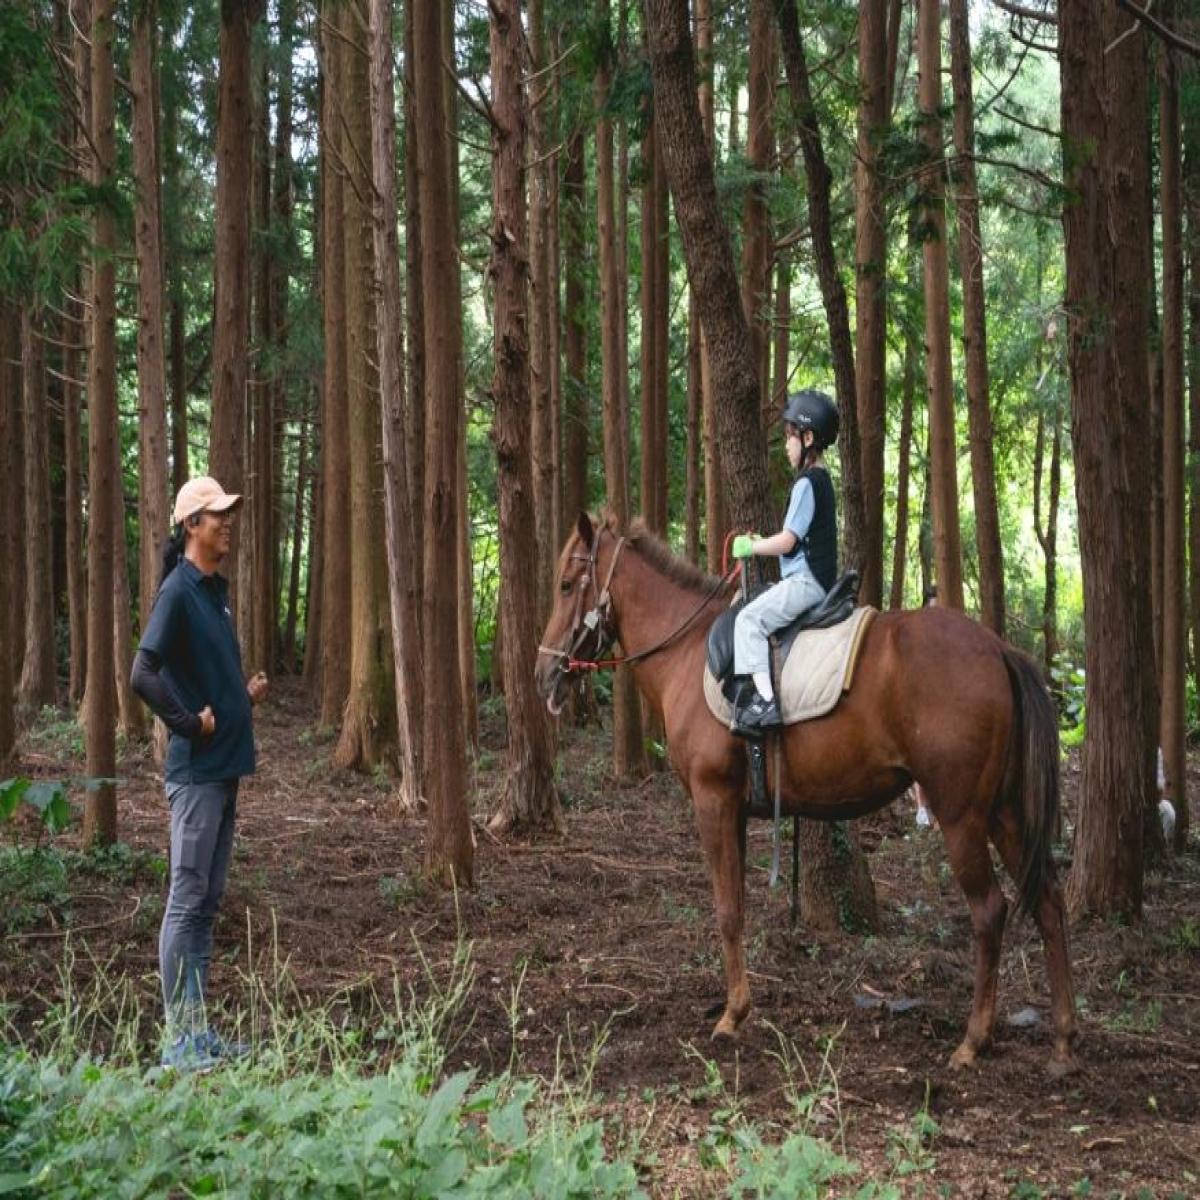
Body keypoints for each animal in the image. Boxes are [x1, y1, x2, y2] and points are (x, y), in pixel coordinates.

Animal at [535, 511, 1080, 1075]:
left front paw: (732, 1015)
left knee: (990, 910)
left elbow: (726, 909)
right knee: (1048, 899)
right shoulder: (734, 809)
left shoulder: (712, 801)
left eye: (566, 585)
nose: (544, 673)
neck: (686, 653)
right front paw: (739, 1006)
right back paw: (1063, 1041)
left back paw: (974, 1040)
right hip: (1005, 812)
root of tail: (998, 648)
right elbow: (738, 905)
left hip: (961, 816)